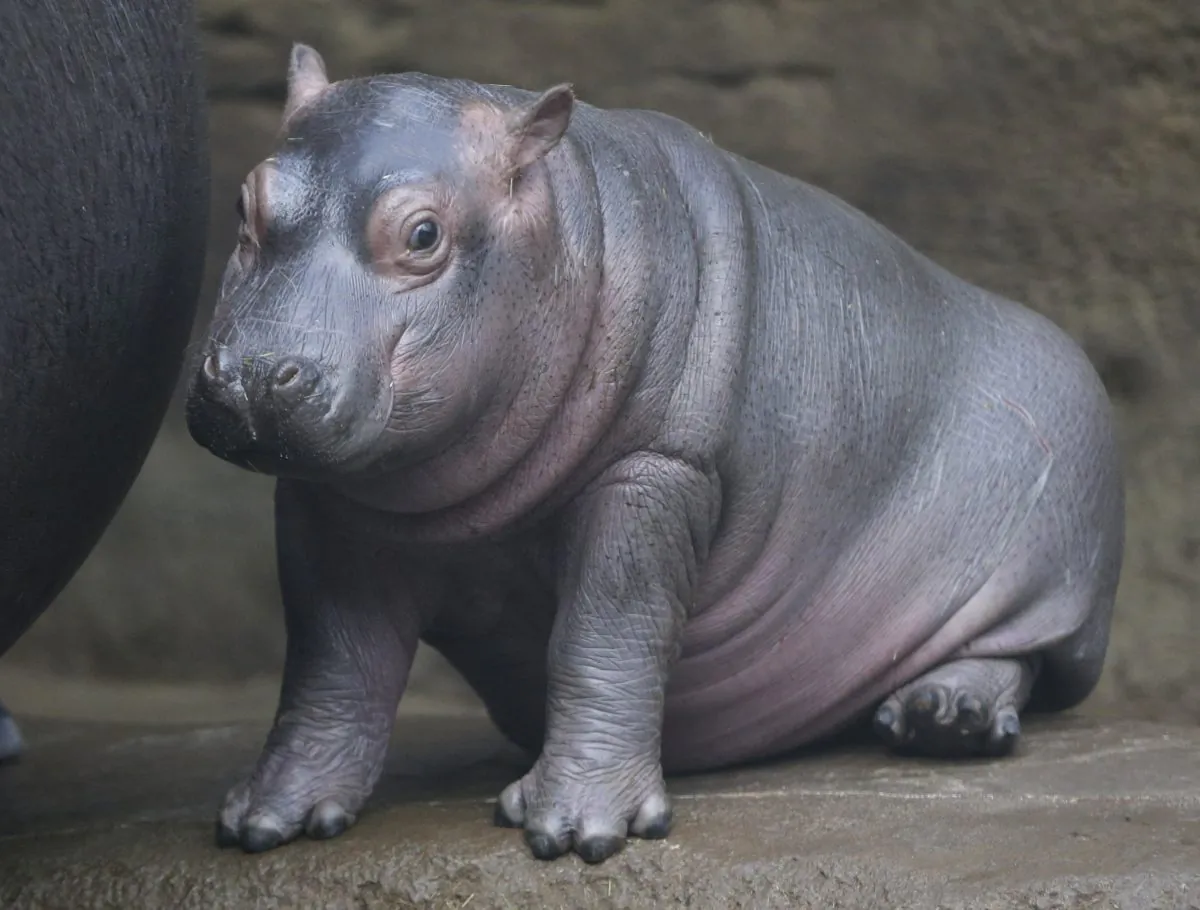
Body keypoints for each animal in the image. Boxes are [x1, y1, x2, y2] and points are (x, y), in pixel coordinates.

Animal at [185, 45, 1124, 864]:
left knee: (1024, 656)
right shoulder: (326, 503)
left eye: (422, 234)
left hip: (1053, 561)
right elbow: (332, 663)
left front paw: (574, 831)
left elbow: (606, 636)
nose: (252, 377)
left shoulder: (655, 470)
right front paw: (265, 818)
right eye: (242, 204)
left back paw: (945, 716)